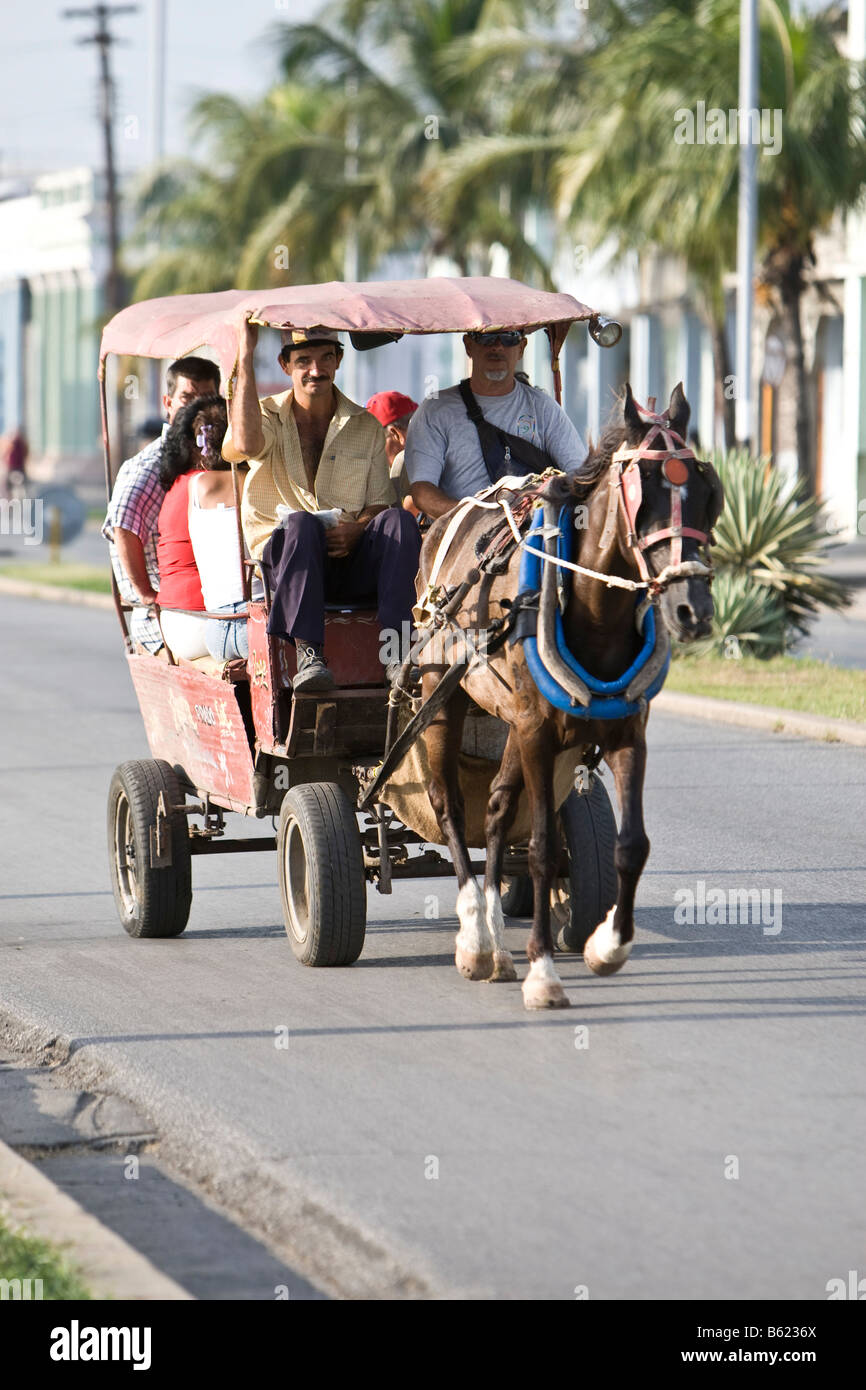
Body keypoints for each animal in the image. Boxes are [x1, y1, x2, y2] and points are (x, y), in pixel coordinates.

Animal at [419, 383, 722, 1011]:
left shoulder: (625, 734)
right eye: (645, 493)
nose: (692, 609)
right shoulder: (539, 734)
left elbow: (630, 844)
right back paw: (474, 934)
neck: (593, 609)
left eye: (708, 493)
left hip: (511, 720)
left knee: (497, 806)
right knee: (450, 804)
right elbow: (539, 848)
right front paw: (543, 971)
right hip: (443, 699)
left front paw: (607, 945)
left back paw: (494, 938)